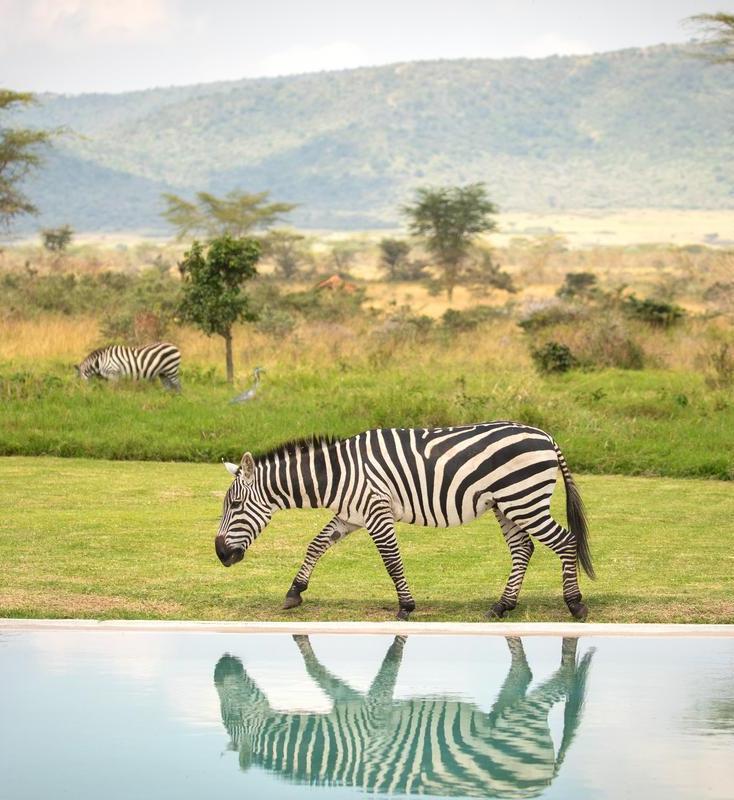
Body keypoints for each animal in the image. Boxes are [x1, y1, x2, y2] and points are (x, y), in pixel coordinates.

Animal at [214, 635, 595, 798]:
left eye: (232, 711)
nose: (218, 671)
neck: (335, 745)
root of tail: (543, 782)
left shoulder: (370, 713)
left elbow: (386, 666)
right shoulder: (348, 703)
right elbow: (316, 670)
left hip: (520, 722)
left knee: (558, 682)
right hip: (506, 716)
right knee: (522, 675)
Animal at [216, 422, 594, 620]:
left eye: (235, 504)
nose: (220, 554)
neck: (337, 475)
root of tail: (546, 436)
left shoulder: (376, 512)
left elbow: (392, 561)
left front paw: (405, 607)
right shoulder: (350, 515)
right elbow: (316, 545)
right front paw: (294, 592)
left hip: (524, 499)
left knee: (565, 542)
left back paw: (575, 604)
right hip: (508, 504)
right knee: (523, 549)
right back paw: (503, 606)